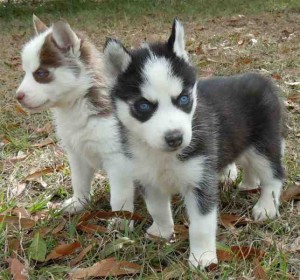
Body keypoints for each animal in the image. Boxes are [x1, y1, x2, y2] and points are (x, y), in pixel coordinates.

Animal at [15, 15, 134, 217]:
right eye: (25, 72)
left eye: (41, 73)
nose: (18, 96)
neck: (76, 107)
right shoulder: (77, 155)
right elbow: (79, 182)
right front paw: (79, 202)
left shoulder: (119, 161)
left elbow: (119, 198)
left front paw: (120, 219)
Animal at [103, 19, 286, 266]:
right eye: (143, 106)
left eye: (183, 99)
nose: (175, 138)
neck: (164, 157)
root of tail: (262, 79)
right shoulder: (148, 178)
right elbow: (157, 209)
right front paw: (162, 232)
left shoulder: (201, 180)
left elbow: (201, 226)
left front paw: (202, 258)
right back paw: (249, 184)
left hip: (263, 145)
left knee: (273, 175)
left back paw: (266, 207)